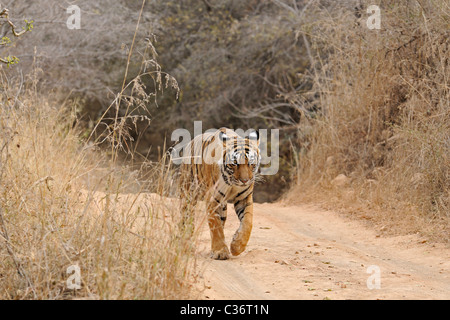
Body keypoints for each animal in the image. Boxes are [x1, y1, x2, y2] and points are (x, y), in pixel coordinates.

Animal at [178, 127, 260, 260]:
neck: (232, 184)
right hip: (187, 193)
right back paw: (185, 245)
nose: (244, 181)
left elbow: (248, 222)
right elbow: (215, 225)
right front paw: (220, 252)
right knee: (186, 218)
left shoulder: (244, 198)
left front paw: (236, 246)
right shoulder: (213, 199)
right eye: (235, 163)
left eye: (251, 163)